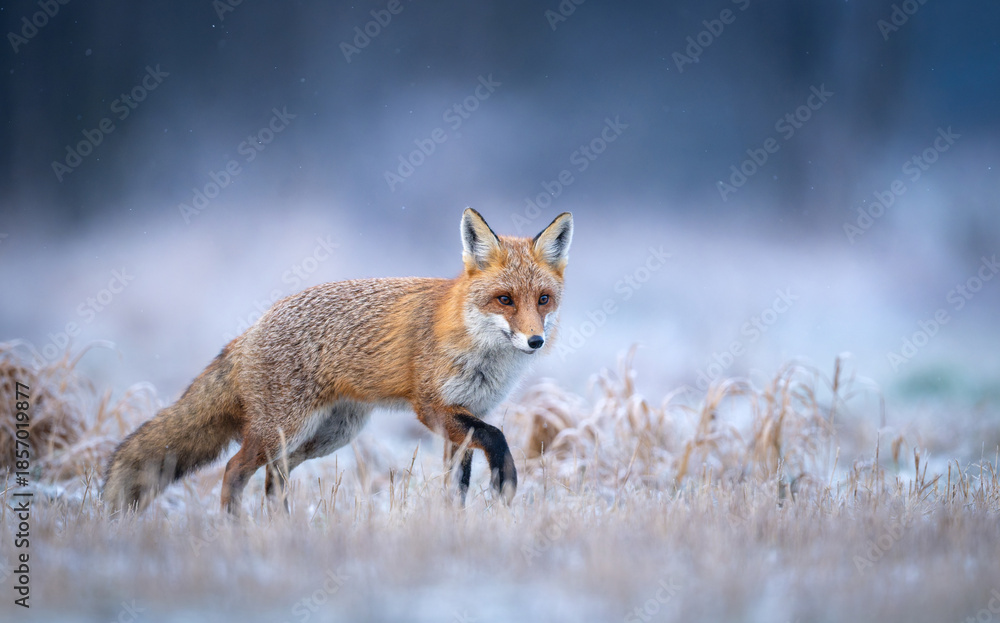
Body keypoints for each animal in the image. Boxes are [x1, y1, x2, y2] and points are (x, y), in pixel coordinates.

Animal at [102, 208, 573, 514]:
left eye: (543, 299)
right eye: (504, 300)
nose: (535, 340)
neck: (481, 353)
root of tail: (251, 329)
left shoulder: (465, 416)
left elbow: (457, 484)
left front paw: (457, 524)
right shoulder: (432, 408)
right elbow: (497, 438)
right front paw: (505, 483)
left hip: (327, 435)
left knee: (274, 478)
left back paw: (280, 528)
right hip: (284, 429)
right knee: (235, 471)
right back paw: (236, 530)